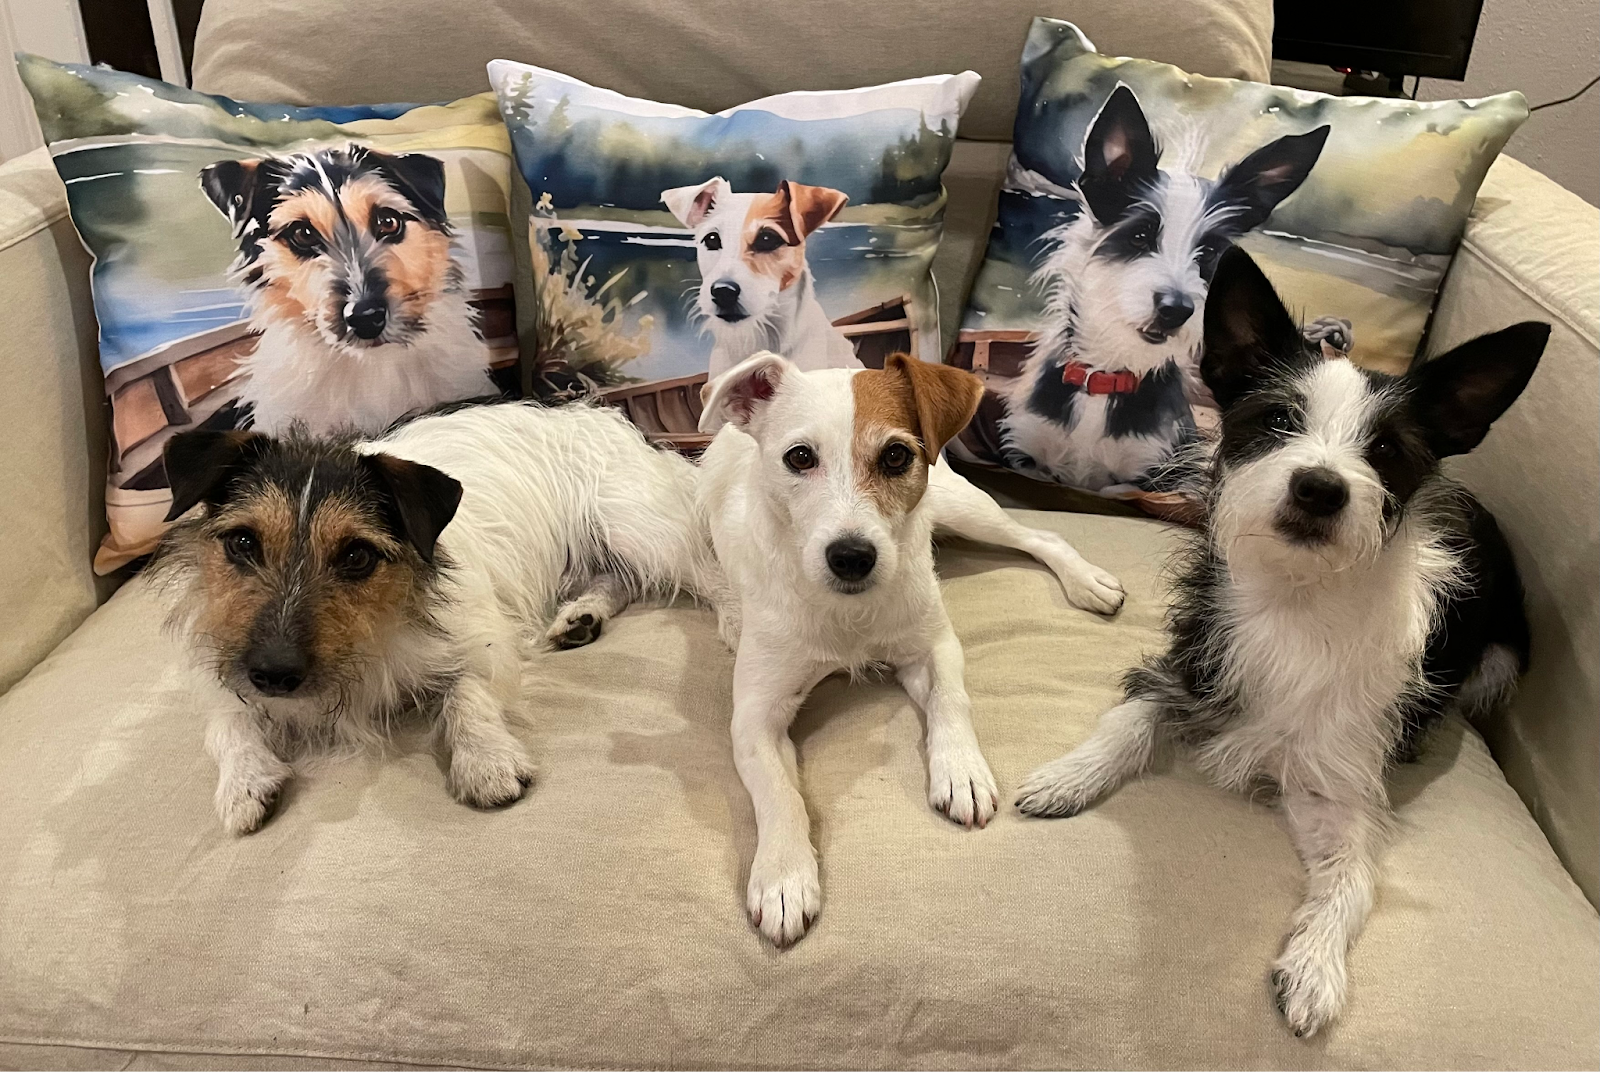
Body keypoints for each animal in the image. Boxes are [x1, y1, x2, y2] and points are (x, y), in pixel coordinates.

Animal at [700, 348, 1126, 947]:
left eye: (897, 455)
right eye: (799, 457)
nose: (852, 557)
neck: (848, 613)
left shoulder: (934, 644)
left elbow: (951, 700)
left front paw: (961, 771)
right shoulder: (755, 717)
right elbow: (777, 792)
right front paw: (784, 875)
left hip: (961, 506)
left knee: (1039, 537)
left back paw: (1085, 580)